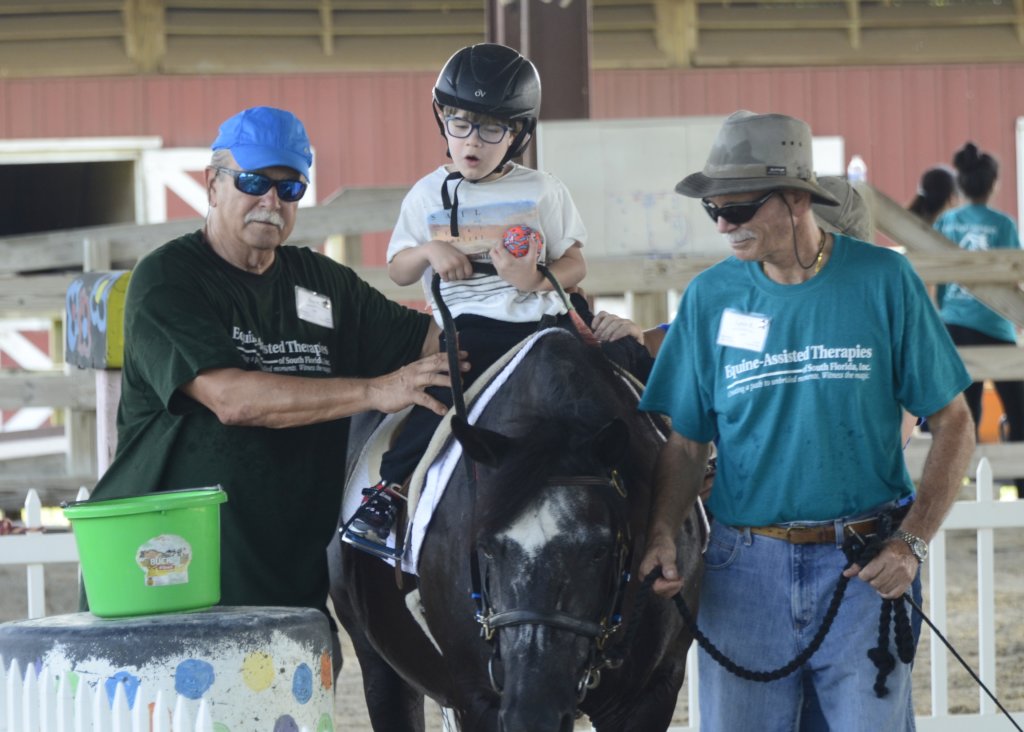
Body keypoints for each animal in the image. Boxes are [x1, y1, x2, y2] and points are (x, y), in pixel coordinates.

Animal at [327, 331, 704, 732]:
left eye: (599, 550)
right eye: (486, 548)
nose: (532, 714)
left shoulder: (650, 694)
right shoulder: (476, 697)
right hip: (378, 662)